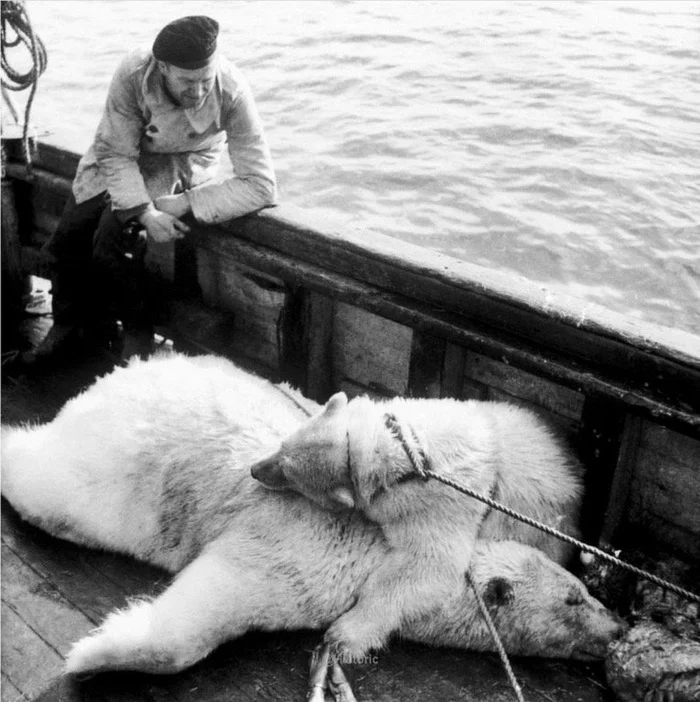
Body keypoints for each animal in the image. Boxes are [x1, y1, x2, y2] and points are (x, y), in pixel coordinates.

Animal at [1, 354, 624, 684]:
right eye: (574, 599)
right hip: (107, 469)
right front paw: (93, 652)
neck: (381, 554)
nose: (618, 630)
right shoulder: (304, 552)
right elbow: (216, 599)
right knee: (48, 481)